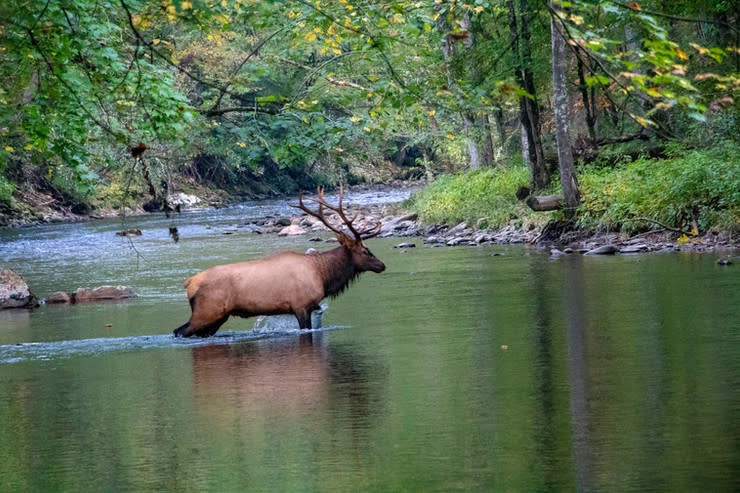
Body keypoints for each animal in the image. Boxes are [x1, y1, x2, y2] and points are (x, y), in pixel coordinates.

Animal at [171, 186, 384, 336]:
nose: (382, 265)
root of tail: (189, 282)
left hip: (217, 317)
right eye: (365, 251)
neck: (323, 275)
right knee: (179, 331)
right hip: (206, 311)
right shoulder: (300, 305)